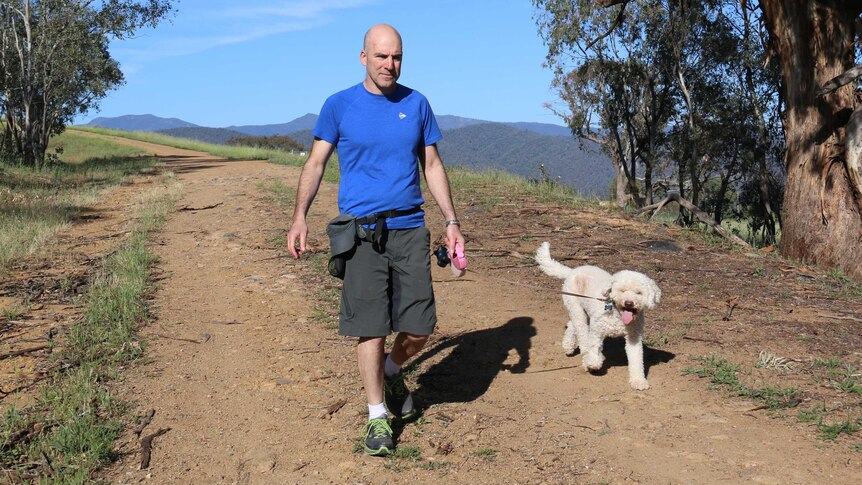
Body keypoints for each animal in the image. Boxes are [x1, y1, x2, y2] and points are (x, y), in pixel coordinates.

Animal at [536, 242, 664, 390]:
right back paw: (586, 358)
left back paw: (568, 346)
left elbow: (637, 359)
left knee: (571, 326)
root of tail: (573, 271)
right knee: (582, 334)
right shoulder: (597, 331)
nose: (629, 303)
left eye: (639, 293)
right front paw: (594, 362)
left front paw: (638, 381)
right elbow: (592, 346)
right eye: (622, 290)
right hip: (576, 309)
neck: (617, 314)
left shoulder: (634, 337)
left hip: (581, 311)